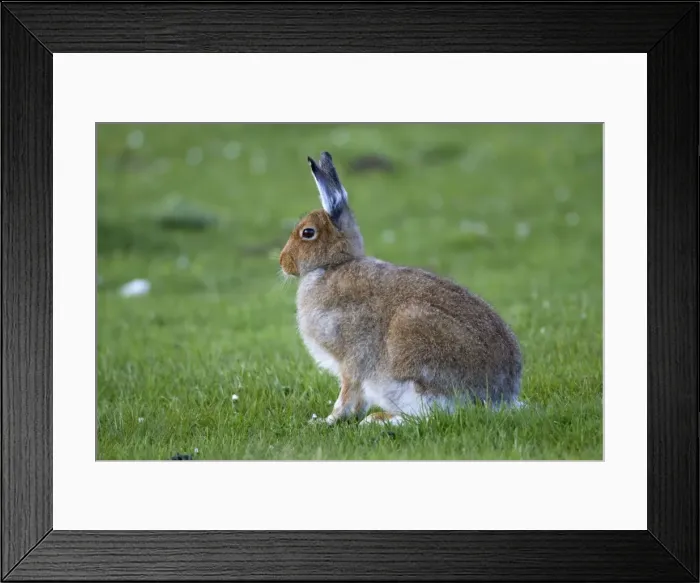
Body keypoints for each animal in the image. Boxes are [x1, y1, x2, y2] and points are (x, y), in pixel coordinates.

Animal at [279, 151, 523, 426]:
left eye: (307, 233)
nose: (283, 262)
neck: (332, 265)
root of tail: (499, 397)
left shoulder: (351, 360)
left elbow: (348, 395)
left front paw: (327, 420)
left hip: (414, 346)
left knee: (430, 414)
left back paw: (376, 421)